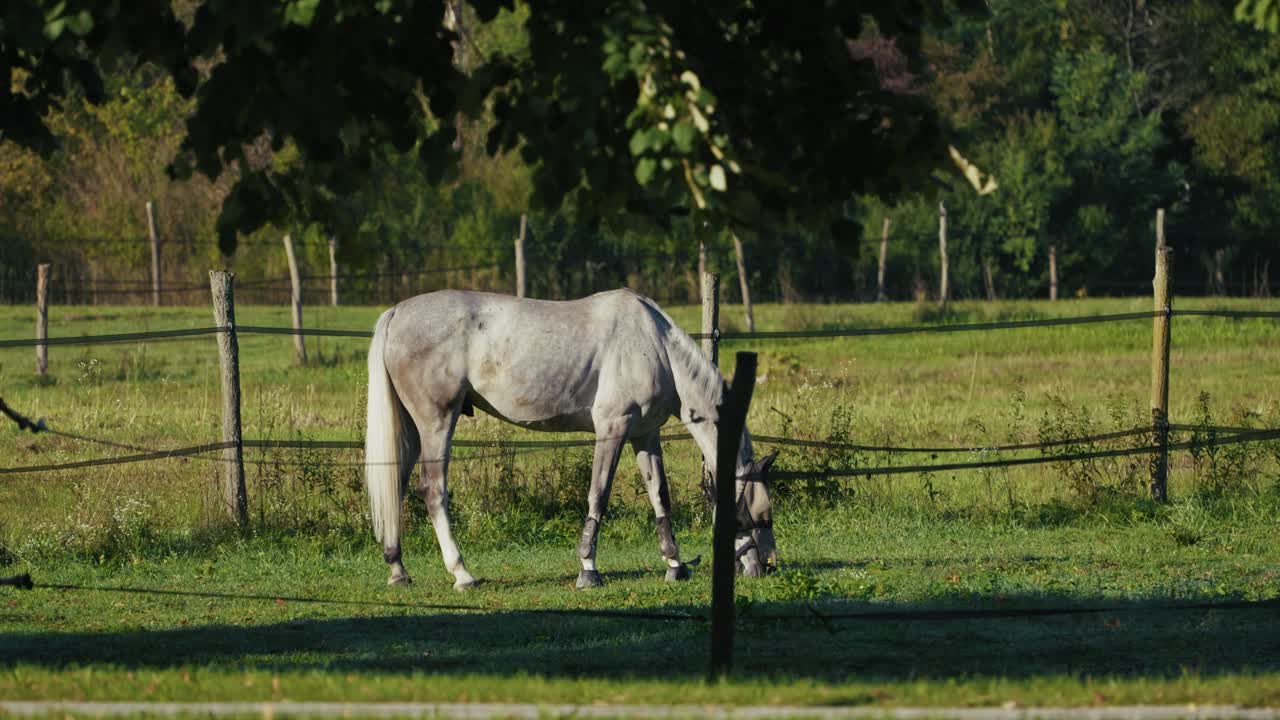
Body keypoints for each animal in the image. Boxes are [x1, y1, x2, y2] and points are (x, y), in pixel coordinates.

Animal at [364, 288, 778, 590]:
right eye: (758, 515)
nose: (766, 568)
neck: (655, 344)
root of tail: (396, 312)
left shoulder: (644, 435)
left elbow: (660, 497)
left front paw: (675, 565)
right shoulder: (612, 429)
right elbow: (599, 495)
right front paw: (588, 570)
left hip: (412, 427)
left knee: (396, 485)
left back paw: (398, 570)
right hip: (437, 422)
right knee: (432, 490)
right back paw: (462, 574)